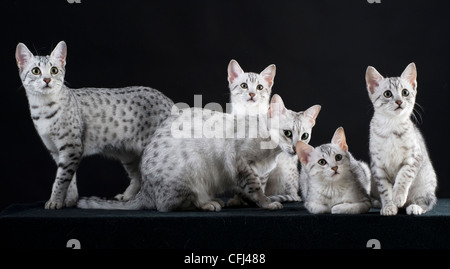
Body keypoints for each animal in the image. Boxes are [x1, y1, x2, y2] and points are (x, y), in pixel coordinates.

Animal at [15, 40, 174, 209]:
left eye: (54, 70)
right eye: (36, 71)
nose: (47, 80)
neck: (43, 108)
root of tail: (170, 102)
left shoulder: (71, 147)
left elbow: (61, 179)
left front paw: (55, 201)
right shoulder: (56, 150)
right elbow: (69, 180)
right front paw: (70, 200)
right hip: (128, 155)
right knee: (138, 176)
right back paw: (127, 196)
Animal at [78, 95, 306, 210]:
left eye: (304, 136)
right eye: (287, 133)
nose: (296, 148)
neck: (271, 153)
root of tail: (146, 190)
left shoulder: (259, 171)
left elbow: (253, 188)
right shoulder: (240, 163)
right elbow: (255, 189)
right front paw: (267, 203)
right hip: (192, 173)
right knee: (169, 205)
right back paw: (207, 204)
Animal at [366, 62, 436, 216]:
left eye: (405, 92)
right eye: (387, 94)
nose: (399, 101)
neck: (392, 125)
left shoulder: (414, 158)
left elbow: (403, 177)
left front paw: (398, 196)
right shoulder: (378, 166)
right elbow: (385, 190)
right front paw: (389, 206)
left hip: (425, 183)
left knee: (428, 202)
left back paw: (414, 207)